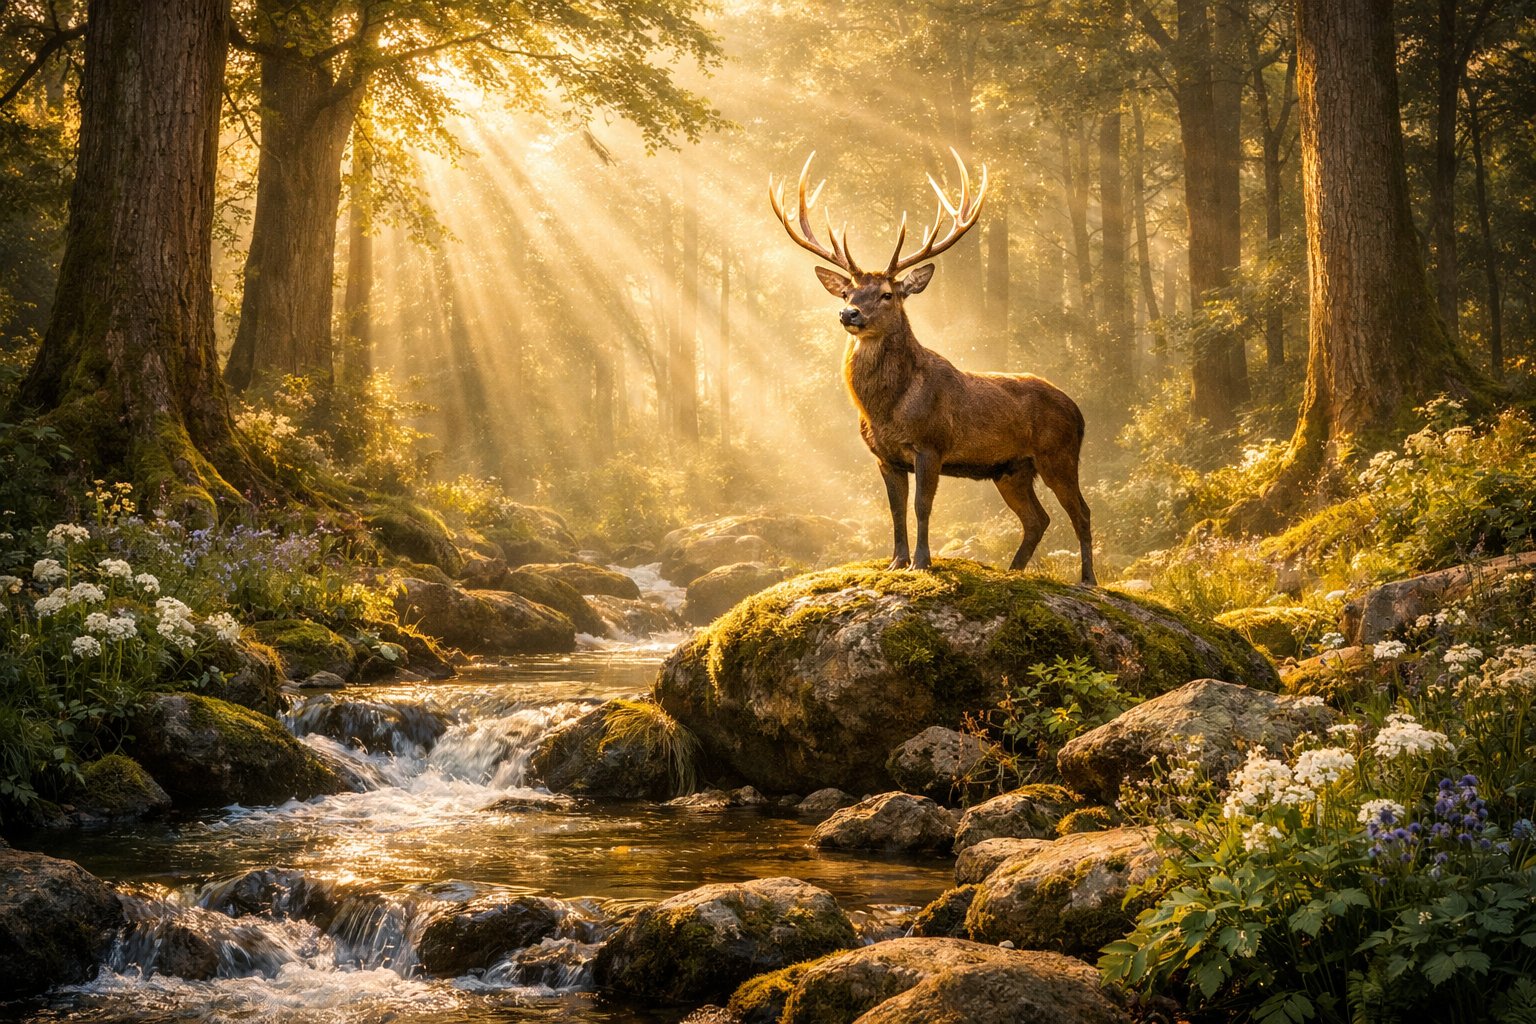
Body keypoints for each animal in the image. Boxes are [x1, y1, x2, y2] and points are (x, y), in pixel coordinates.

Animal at [769, 150, 1096, 585]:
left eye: (887, 294)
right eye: (846, 292)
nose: (849, 313)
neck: (886, 409)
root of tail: (1079, 411)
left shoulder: (931, 444)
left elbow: (922, 507)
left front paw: (922, 562)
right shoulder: (885, 457)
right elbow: (894, 511)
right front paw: (896, 561)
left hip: (1058, 452)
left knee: (1081, 511)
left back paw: (1088, 580)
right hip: (1011, 469)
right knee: (1037, 519)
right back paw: (1012, 572)